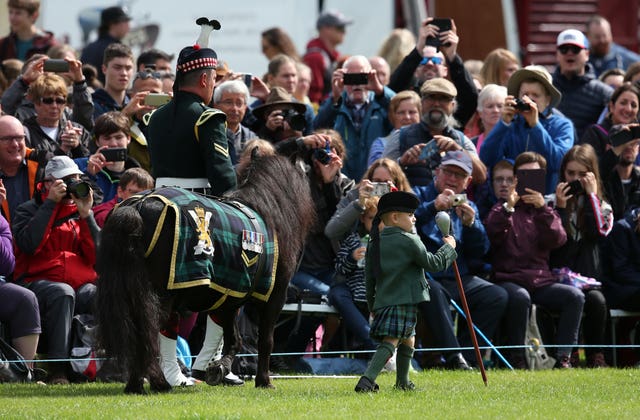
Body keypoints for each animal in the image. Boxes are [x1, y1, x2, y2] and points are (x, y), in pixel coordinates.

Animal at [96, 155, 314, 394]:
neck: (269, 216)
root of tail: (139, 205)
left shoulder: (230, 294)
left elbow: (233, 337)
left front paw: (219, 368)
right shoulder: (275, 296)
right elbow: (265, 340)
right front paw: (263, 380)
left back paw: (139, 383)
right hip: (162, 295)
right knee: (148, 333)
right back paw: (158, 381)